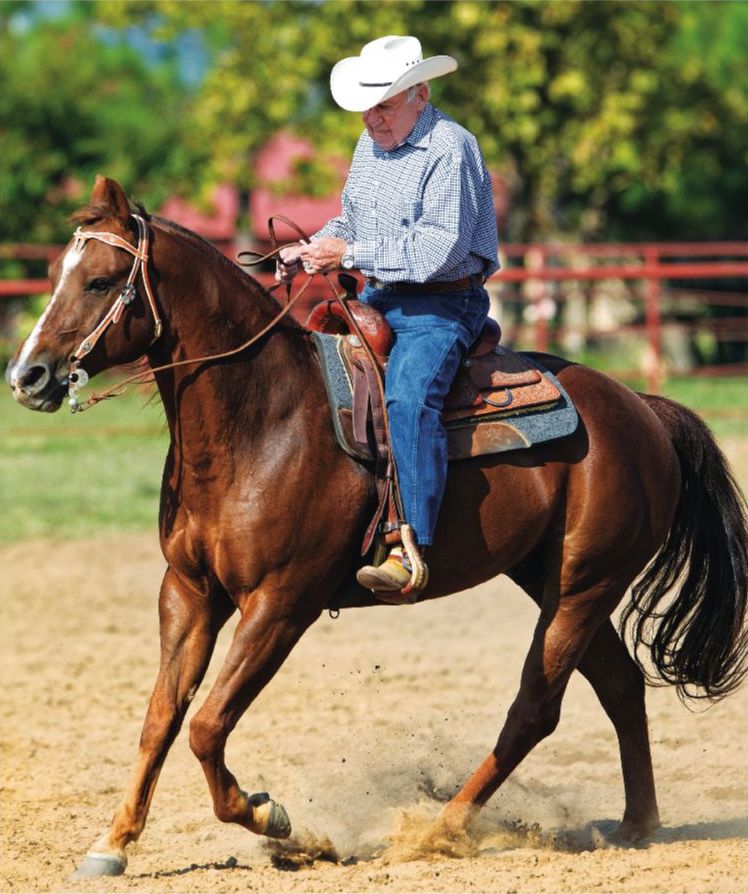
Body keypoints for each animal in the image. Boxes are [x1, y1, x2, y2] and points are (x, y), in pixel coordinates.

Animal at [7, 176, 747, 877]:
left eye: (101, 280)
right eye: (55, 275)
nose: (28, 376)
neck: (264, 419)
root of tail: (642, 409)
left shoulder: (281, 603)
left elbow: (208, 725)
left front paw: (276, 819)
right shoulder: (188, 591)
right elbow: (162, 718)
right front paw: (112, 844)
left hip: (583, 584)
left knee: (536, 708)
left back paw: (439, 830)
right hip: (551, 578)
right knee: (619, 685)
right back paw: (636, 824)